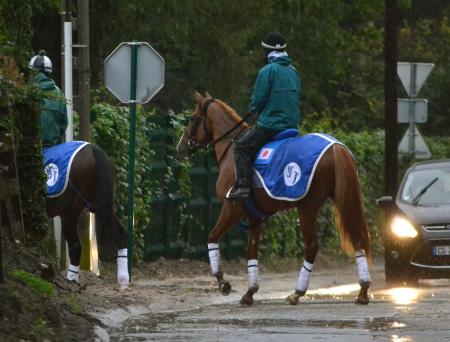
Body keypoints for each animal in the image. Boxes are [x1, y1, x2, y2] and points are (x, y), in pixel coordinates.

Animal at [177, 92, 372, 306]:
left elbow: (212, 237)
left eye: (192, 118)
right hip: (342, 200)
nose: (181, 147)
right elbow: (252, 252)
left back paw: (297, 293)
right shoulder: (253, 216)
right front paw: (250, 292)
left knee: (311, 247)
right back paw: (362, 291)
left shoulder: (232, 208)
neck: (232, 148)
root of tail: (336, 147)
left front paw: (222, 282)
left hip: (307, 208)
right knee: (356, 238)